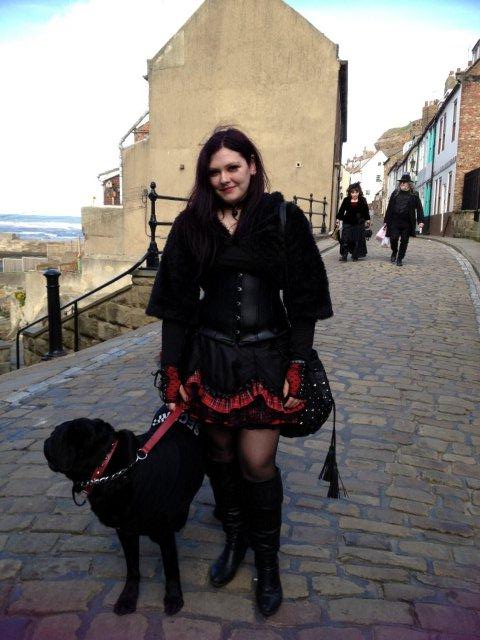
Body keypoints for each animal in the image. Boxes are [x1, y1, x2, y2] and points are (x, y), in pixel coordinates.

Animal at [43, 410, 204, 616]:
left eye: (54, 435)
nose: (45, 440)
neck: (111, 472)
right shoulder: (126, 531)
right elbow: (133, 568)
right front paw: (128, 597)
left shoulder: (164, 533)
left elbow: (171, 568)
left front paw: (174, 597)